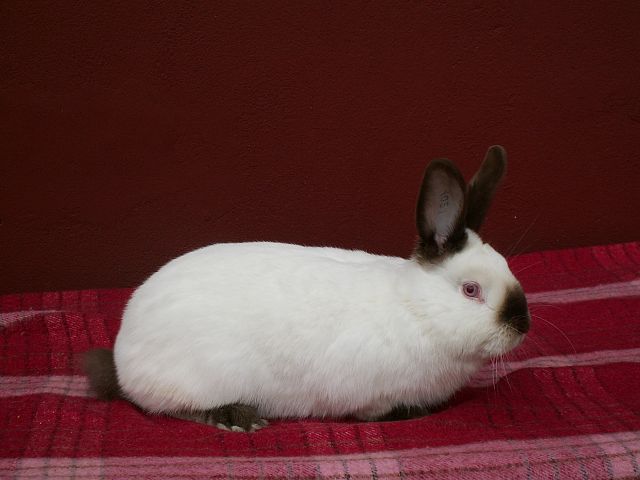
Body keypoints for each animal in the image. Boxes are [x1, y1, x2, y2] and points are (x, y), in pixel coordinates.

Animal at [84, 145, 530, 432]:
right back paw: (237, 418)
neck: (417, 310)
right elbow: (377, 412)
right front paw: (411, 414)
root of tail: (123, 357)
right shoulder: (371, 395)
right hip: (197, 379)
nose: (521, 325)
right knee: (170, 408)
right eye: (471, 290)